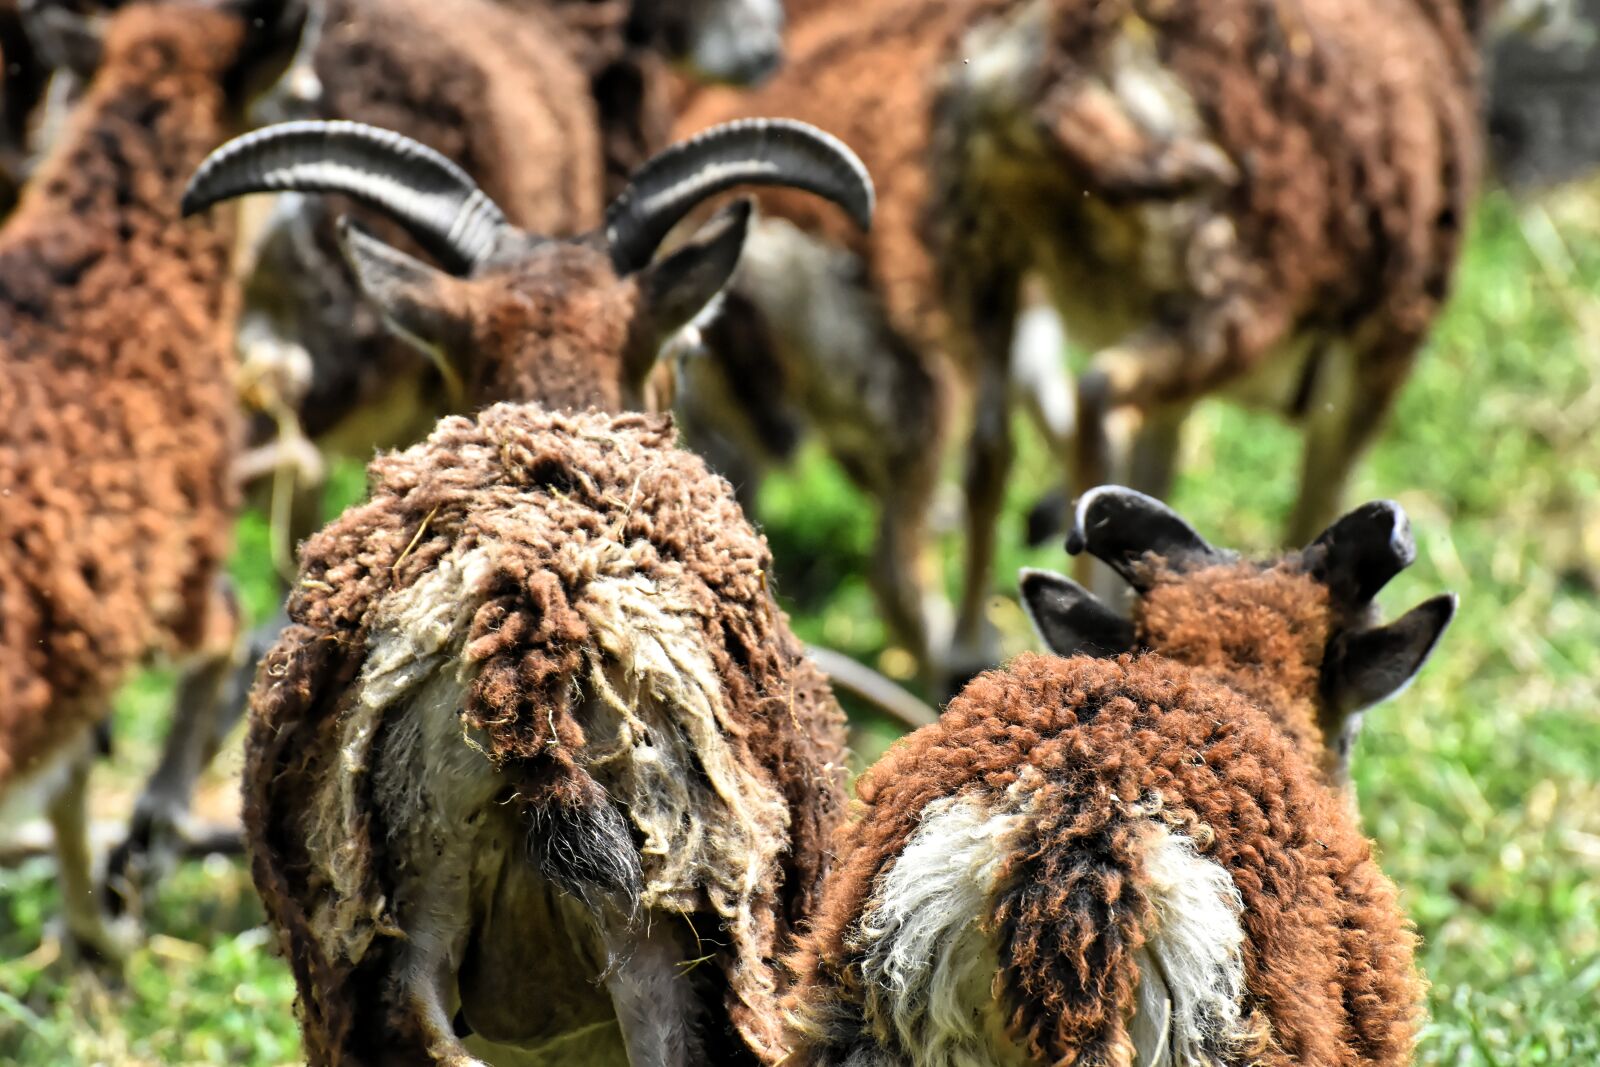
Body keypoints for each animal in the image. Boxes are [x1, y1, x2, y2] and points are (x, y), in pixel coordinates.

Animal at [673, 0, 1490, 684]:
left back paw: (973, 643)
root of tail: (1061, 68)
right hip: (1227, 286)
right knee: (1094, 401)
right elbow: (1315, 503)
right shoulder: (1384, 343)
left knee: (989, 449)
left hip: (987, 258)